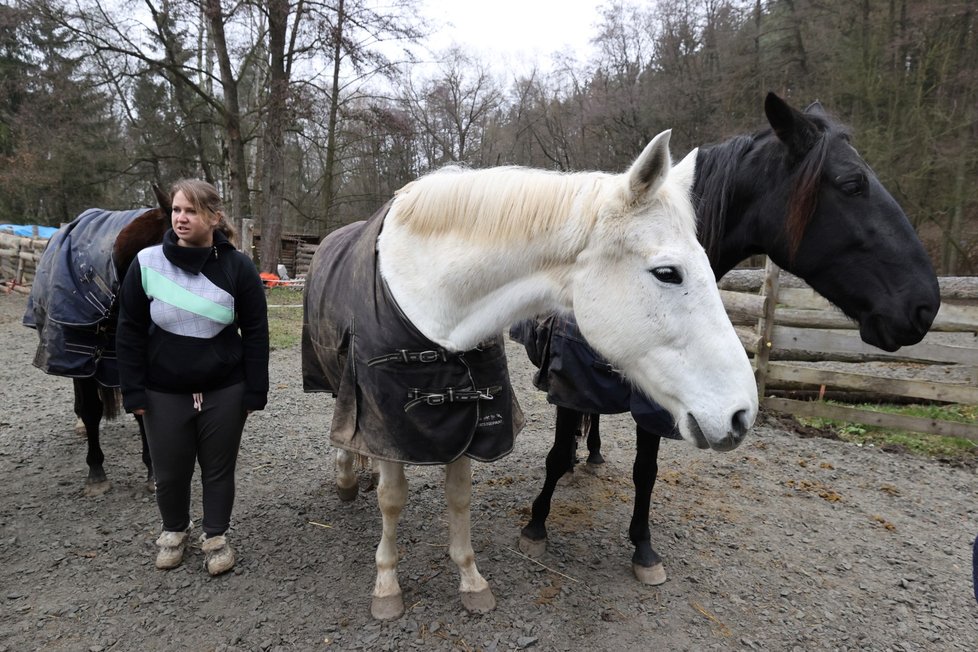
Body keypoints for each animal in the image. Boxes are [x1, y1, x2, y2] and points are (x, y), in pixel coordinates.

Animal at [22, 187, 172, 494]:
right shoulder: (78, 356)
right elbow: (92, 409)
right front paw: (96, 472)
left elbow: (141, 410)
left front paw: (152, 471)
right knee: (82, 399)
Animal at [302, 129, 760, 620]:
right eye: (668, 273)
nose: (742, 414)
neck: (432, 299)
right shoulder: (391, 425)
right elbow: (393, 499)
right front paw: (387, 584)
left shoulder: (467, 422)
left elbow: (459, 495)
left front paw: (470, 577)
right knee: (345, 427)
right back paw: (348, 477)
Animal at [510, 91, 936, 584]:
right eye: (852, 183)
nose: (925, 305)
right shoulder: (570, 385)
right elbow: (557, 455)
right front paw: (536, 525)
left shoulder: (661, 401)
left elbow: (645, 470)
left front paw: (643, 548)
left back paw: (594, 454)